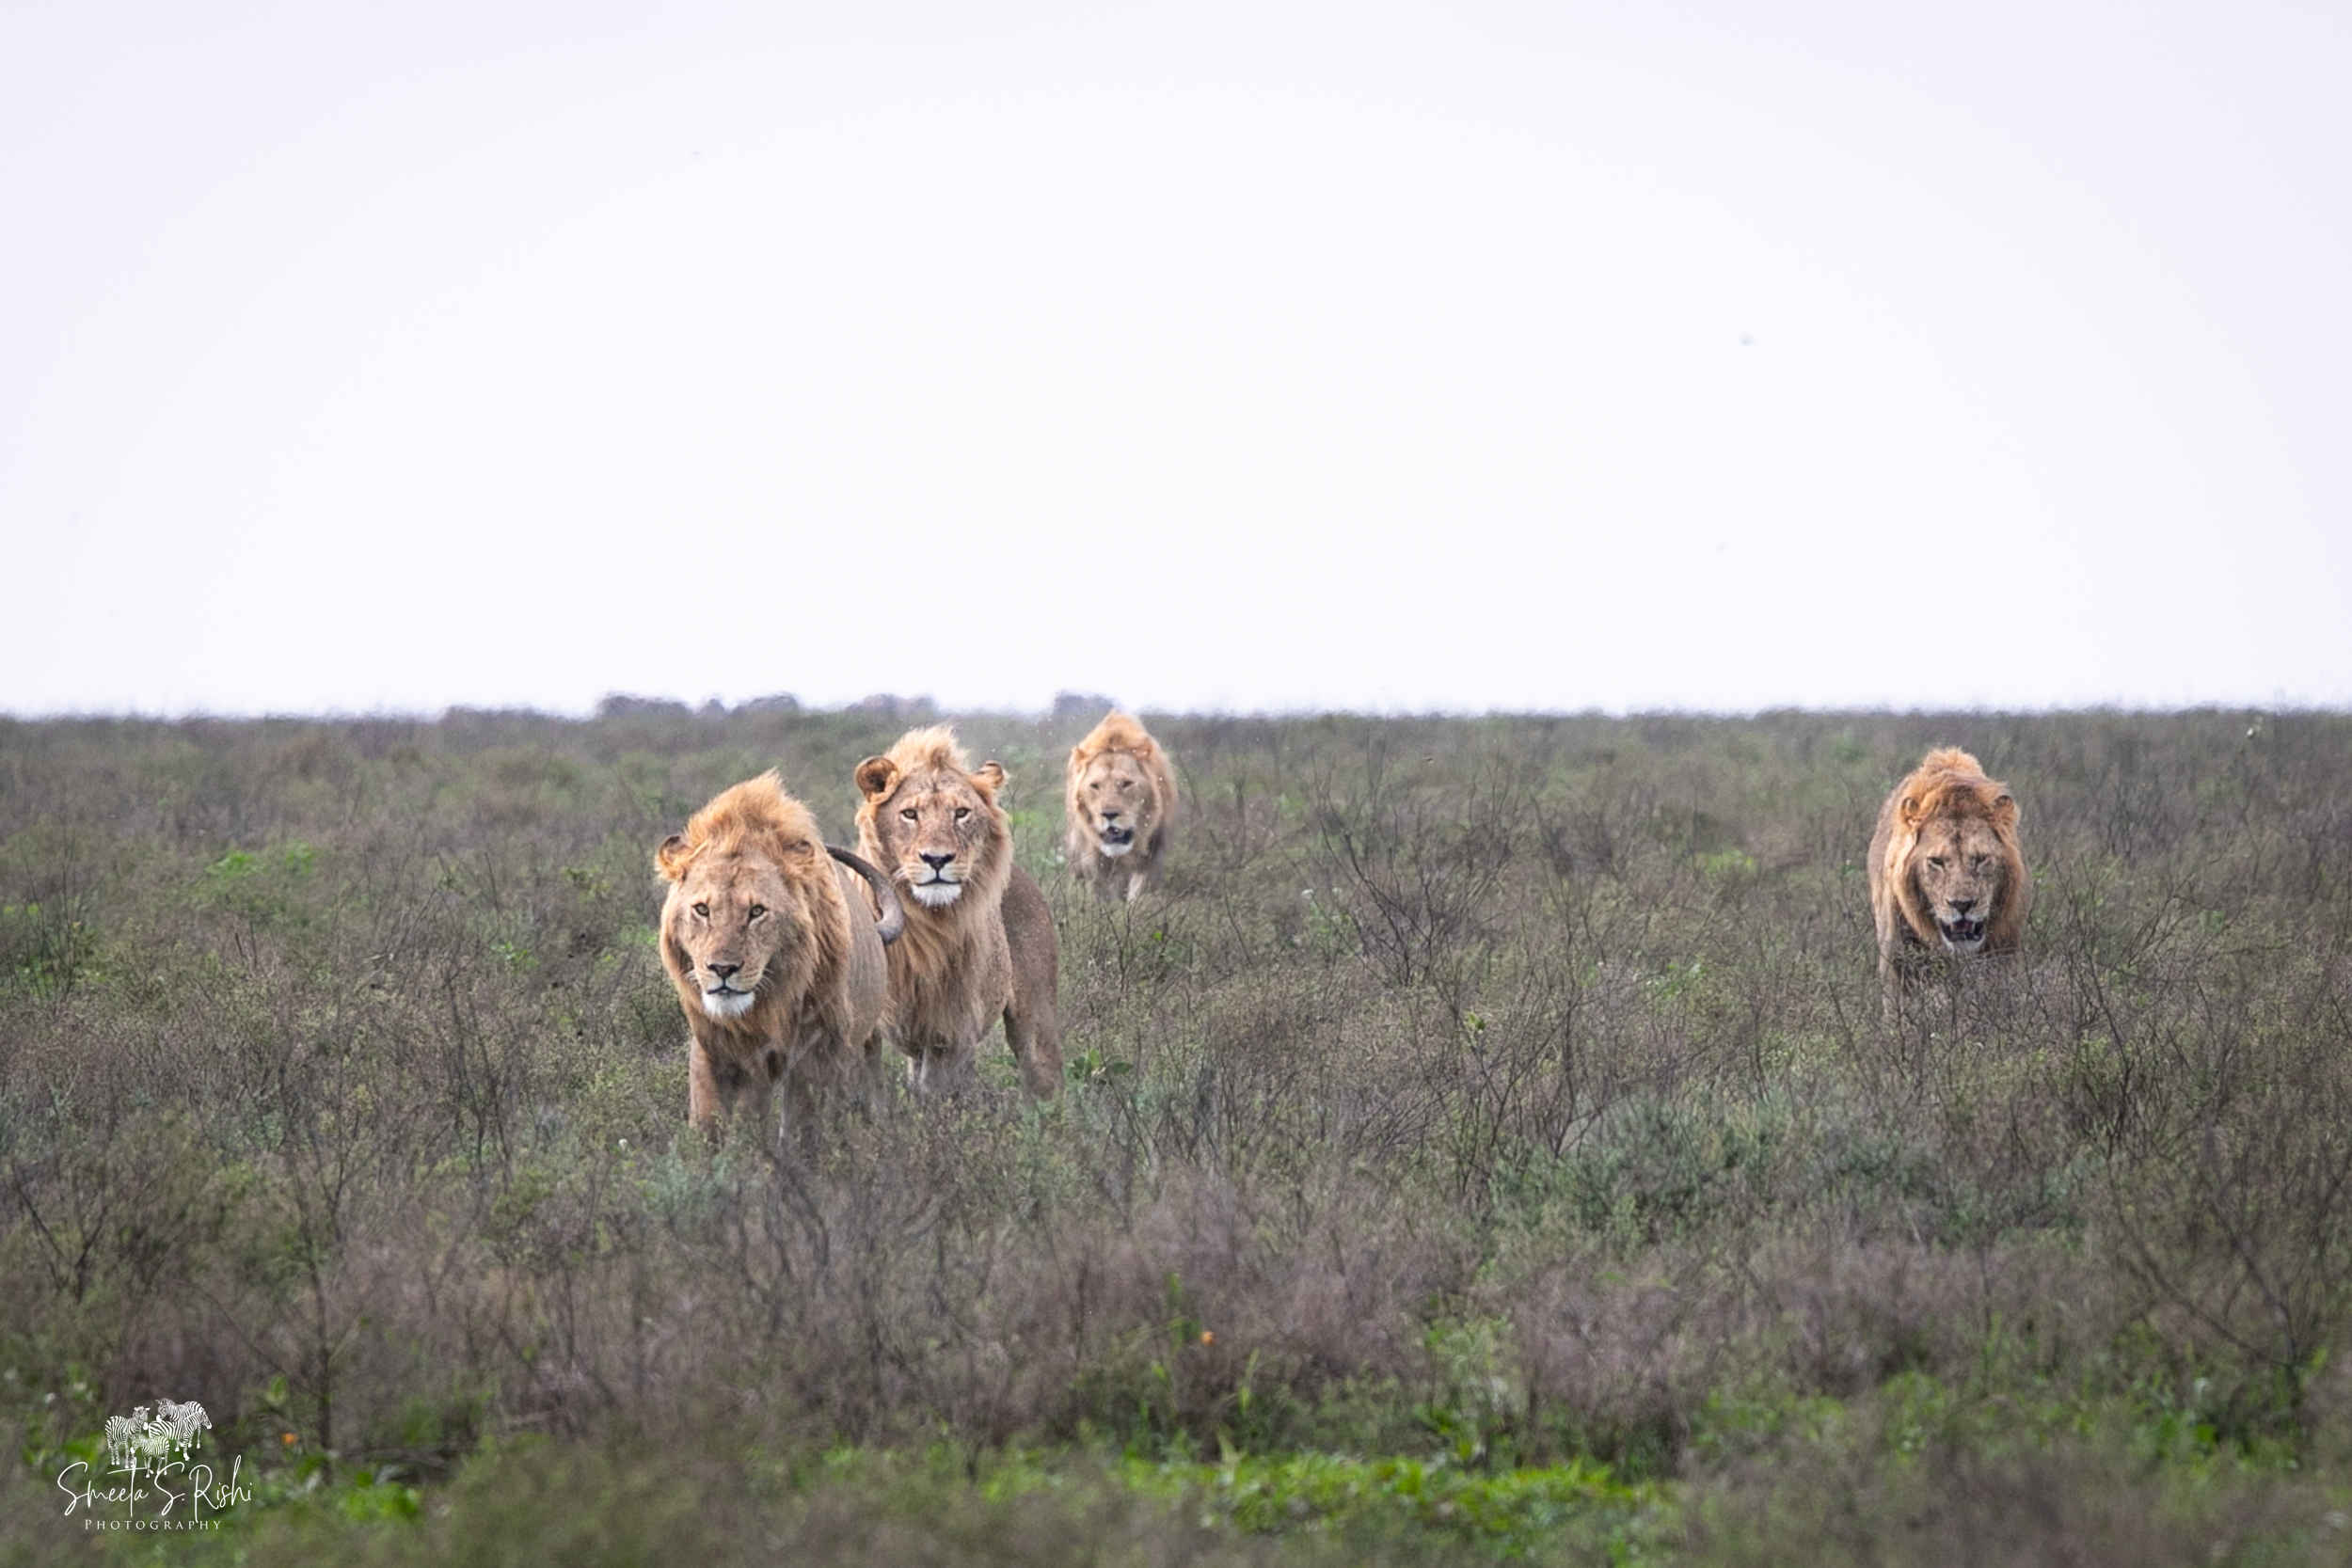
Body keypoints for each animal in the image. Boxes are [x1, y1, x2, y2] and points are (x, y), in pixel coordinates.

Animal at [655, 771, 905, 1142]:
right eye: (702, 909)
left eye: (756, 911)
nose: (722, 969)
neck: (764, 1009)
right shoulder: (714, 1049)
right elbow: (709, 1119)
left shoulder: (813, 1052)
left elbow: (801, 1124)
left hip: (864, 1040)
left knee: (865, 1089)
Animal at [854, 726, 1063, 1098]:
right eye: (910, 814)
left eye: (961, 813)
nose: (937, 859)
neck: (922, 926)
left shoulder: (947, 1029)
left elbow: (935, 1095)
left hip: (1036, 1021)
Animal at [1064, 710, 1178, 901]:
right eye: (1095, 785)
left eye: (1126, 784)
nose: (1109, 814)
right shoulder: (1093, 857)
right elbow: (1101, 892)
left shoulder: (1152, 851)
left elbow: (1139, 890)